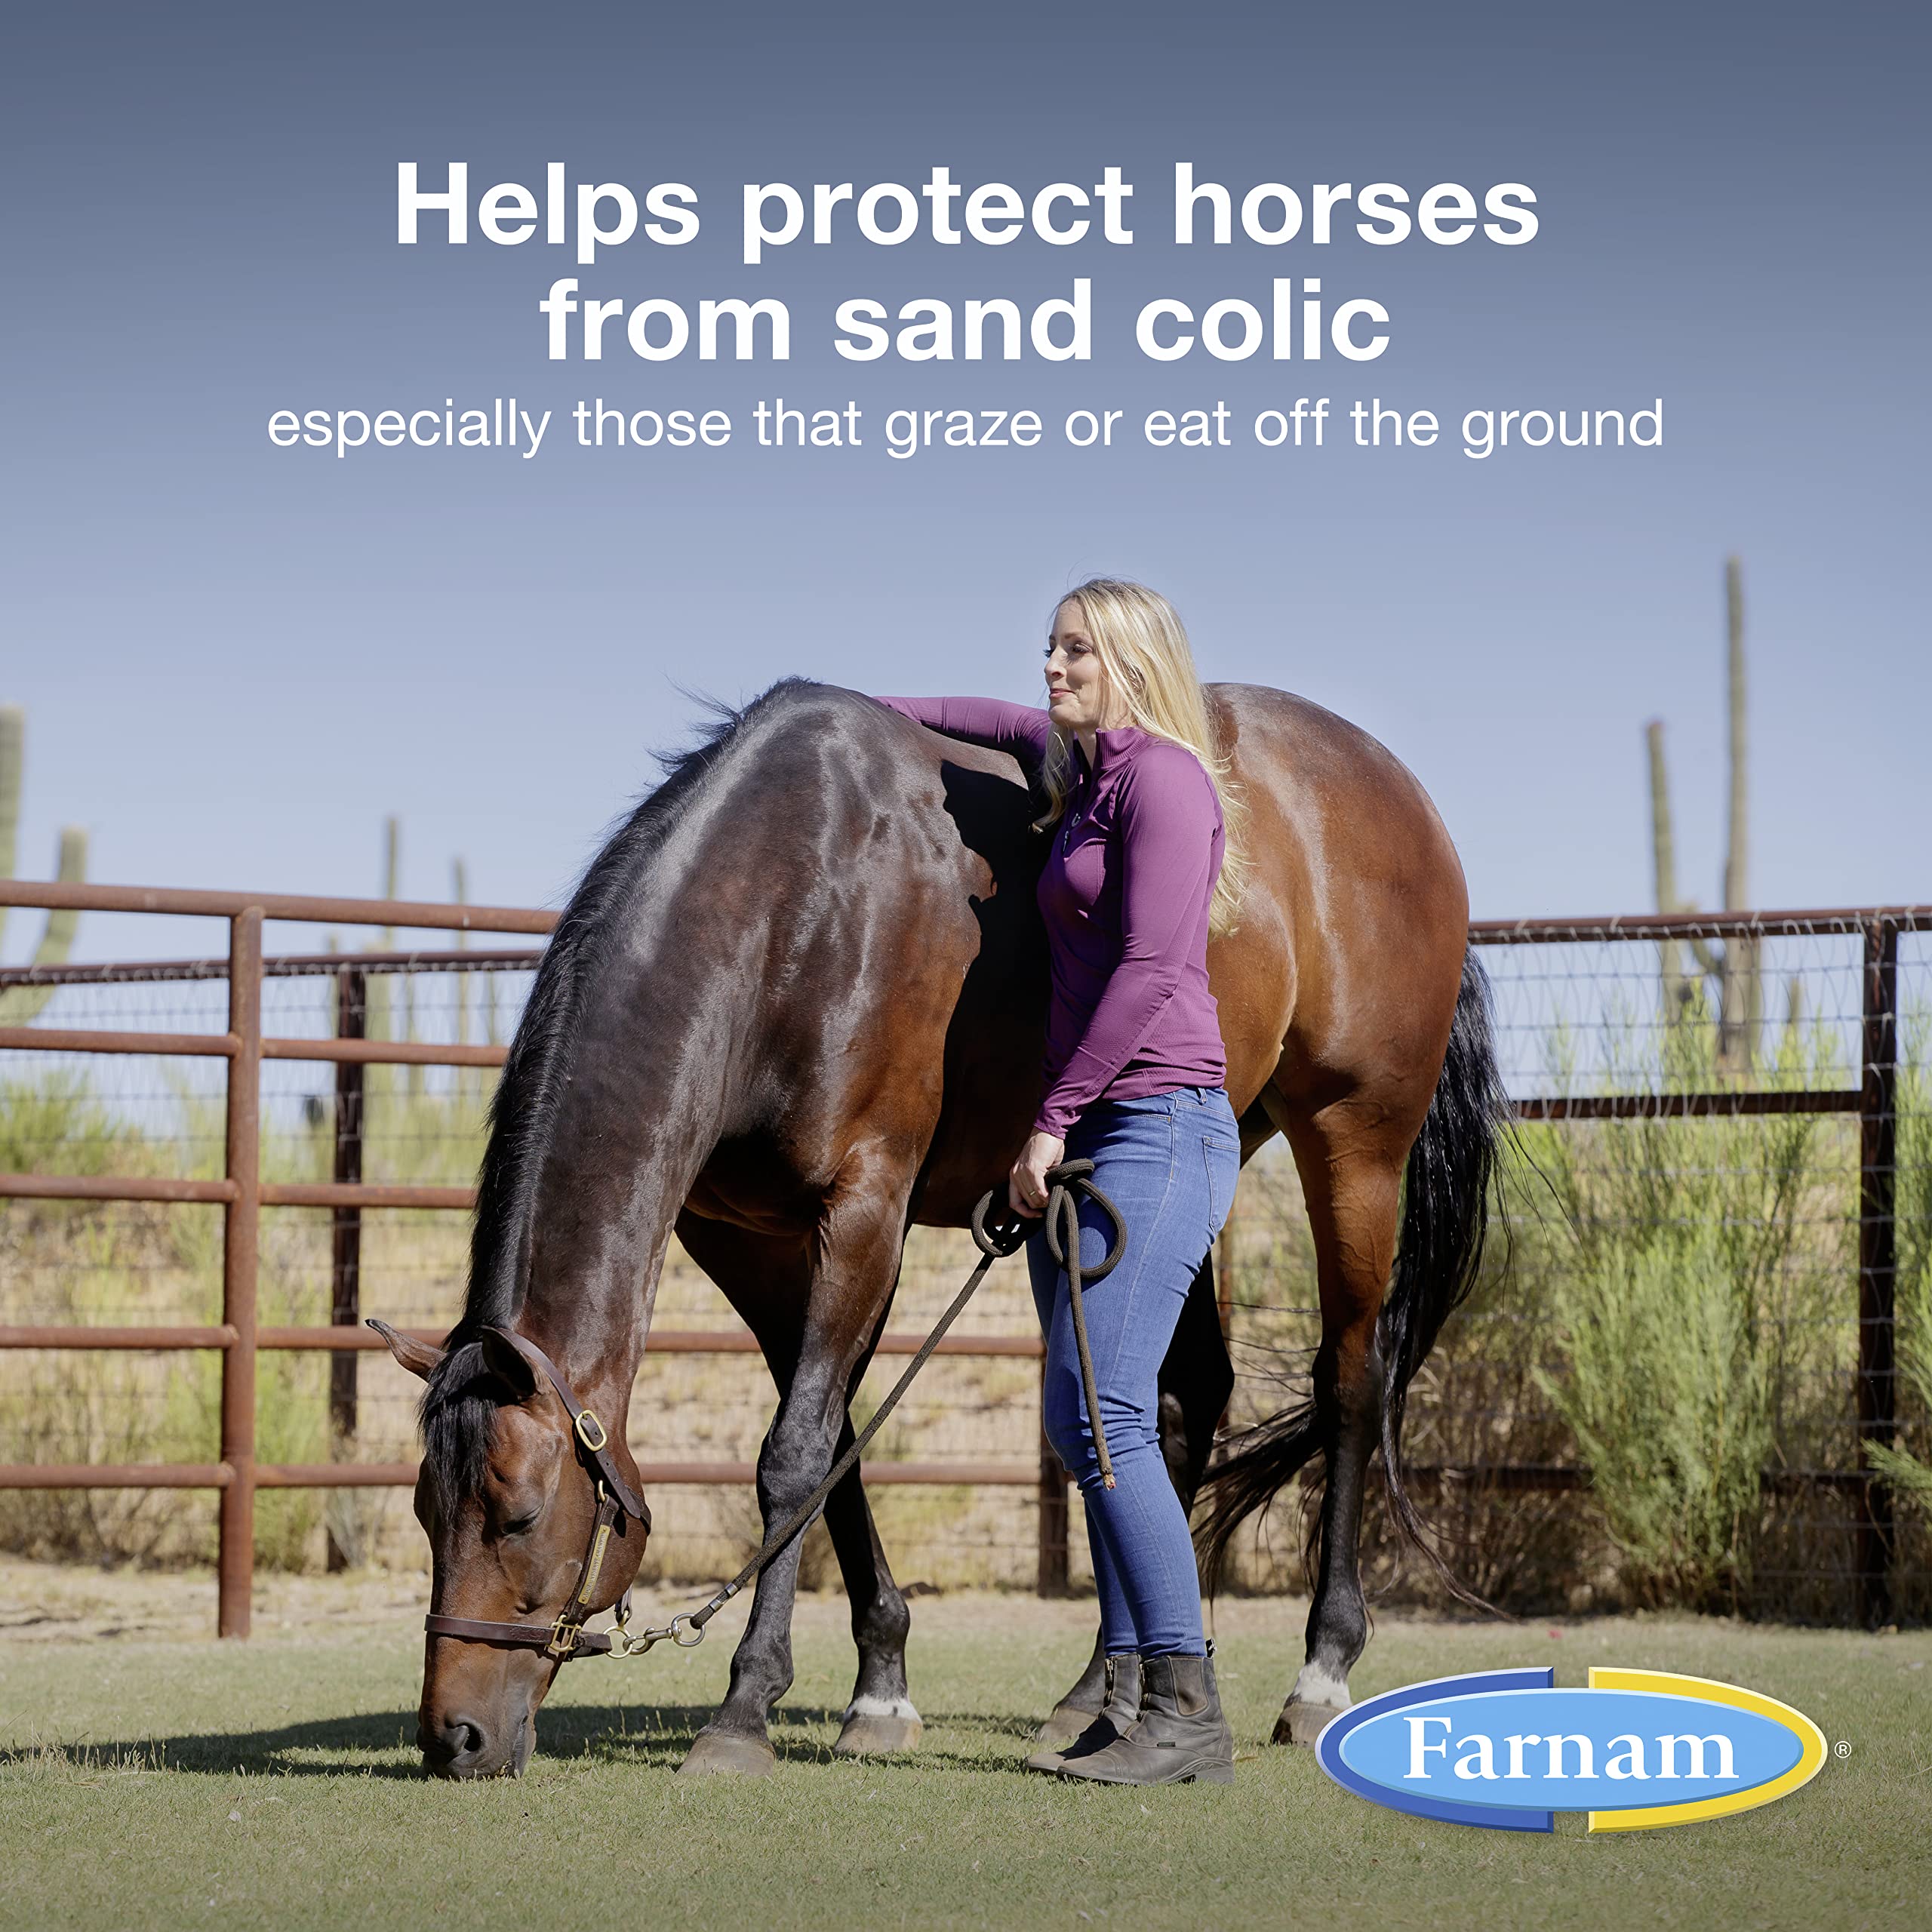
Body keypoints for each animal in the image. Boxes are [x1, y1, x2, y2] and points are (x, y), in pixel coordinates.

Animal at [373, 676, 1506, 1778]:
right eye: (427, 1510)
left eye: (519, 1515)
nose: (454, 1739)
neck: (794, 906)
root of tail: (1397, 795)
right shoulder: (745, 1241)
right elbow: (833, 1441)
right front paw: (879, 1687)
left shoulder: (866, 1207)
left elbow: (795, 1454)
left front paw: (744, 1709)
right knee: (1173, 1398)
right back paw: (1101, 1691)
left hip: (1355, 1147)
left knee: (1351, 1383)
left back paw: (1319, 1673)